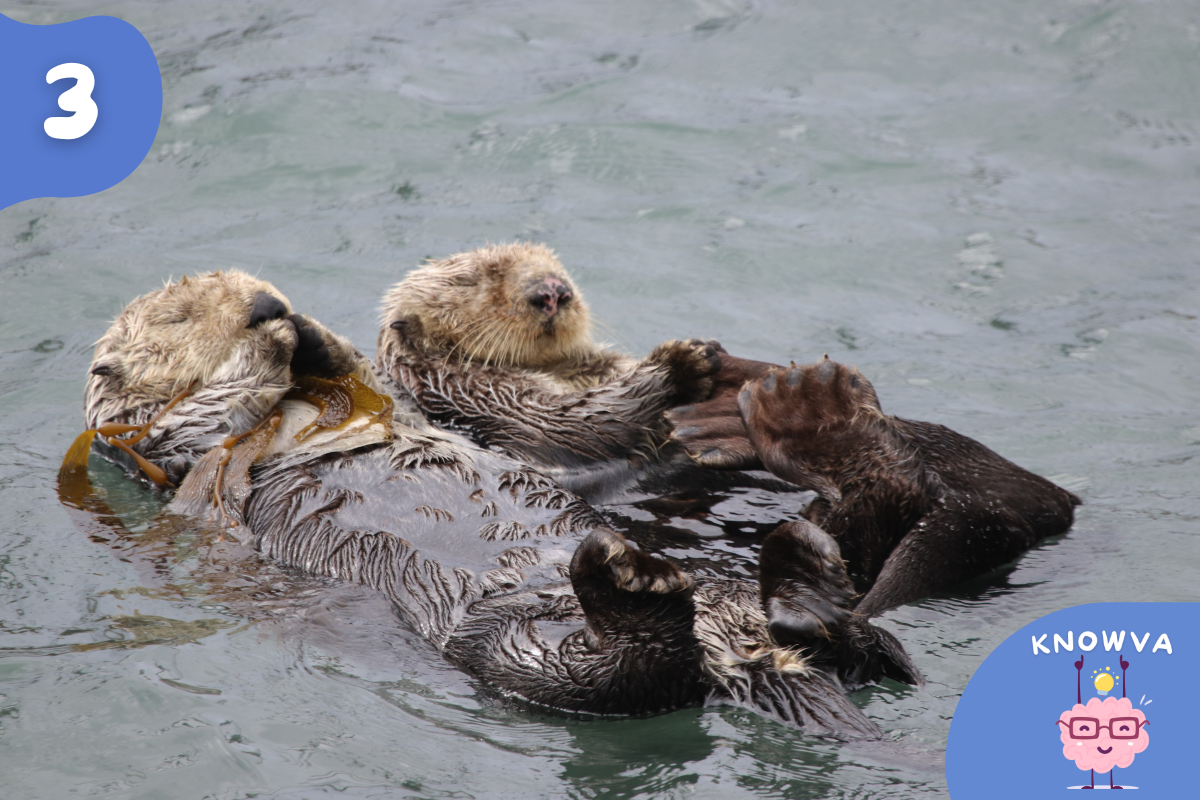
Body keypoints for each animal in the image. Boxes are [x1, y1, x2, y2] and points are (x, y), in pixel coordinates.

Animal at [63, 271, 921, 735]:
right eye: (179, 315)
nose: (263, 303)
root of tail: (742, 649)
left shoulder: (379, 388)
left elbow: (354, 367)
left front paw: (304, 328)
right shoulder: (166, 444)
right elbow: (211, 408)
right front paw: (269, 343)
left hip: (733, 602)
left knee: (874, 648)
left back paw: (807, 566)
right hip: (512, 646)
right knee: (625, 678)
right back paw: (637, 584)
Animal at [376, 243, 729, 500]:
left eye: (555, 266)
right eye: (469, 281)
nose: (552, 290)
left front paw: (709, 348)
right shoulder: (481, 395)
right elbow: (576, 423)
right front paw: (682, 363)